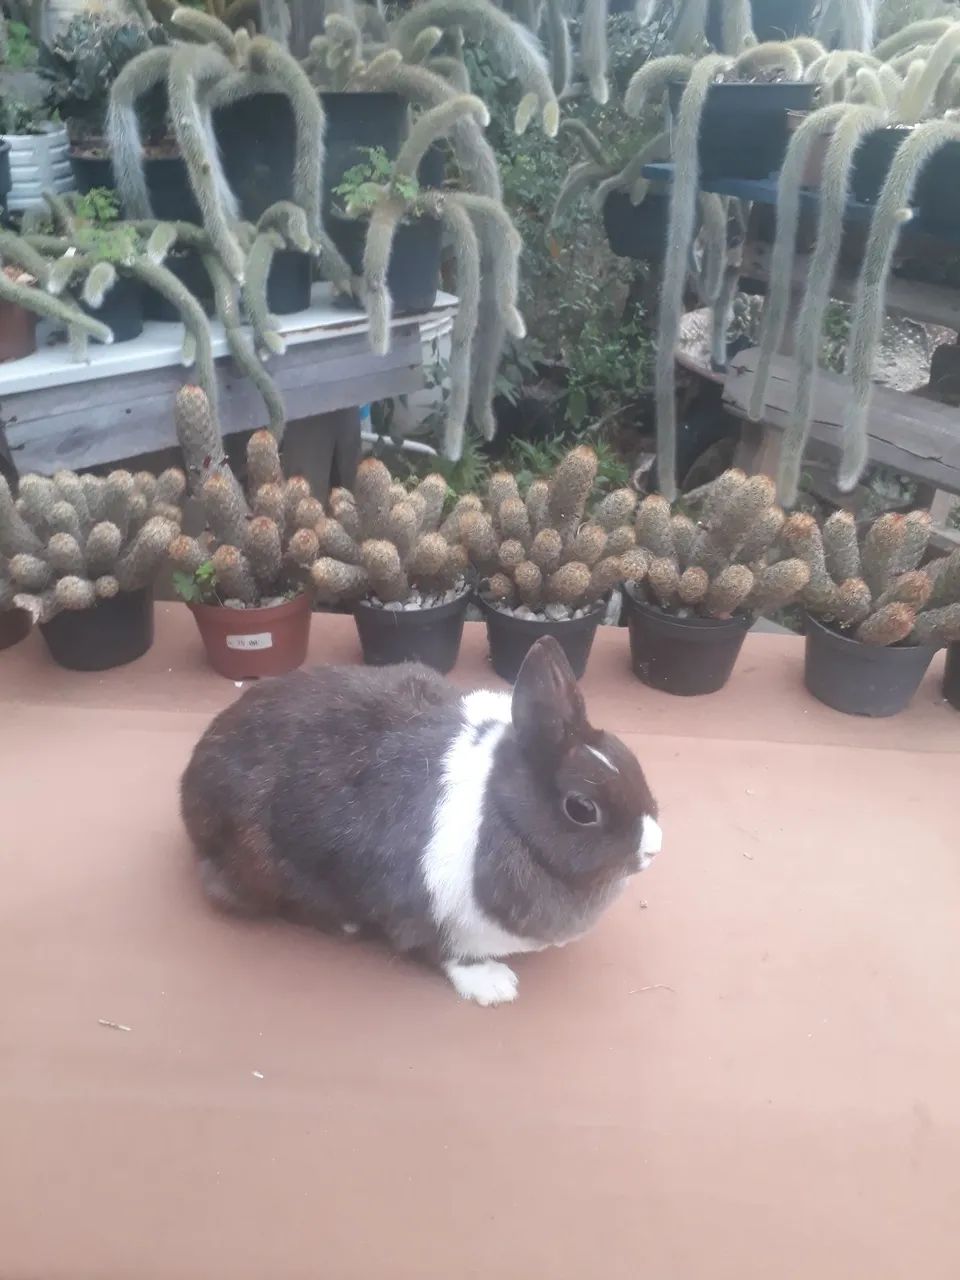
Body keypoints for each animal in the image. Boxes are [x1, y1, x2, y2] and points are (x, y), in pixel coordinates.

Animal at [180, 637, 662, 1006]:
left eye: (629, 758)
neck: (503, 808)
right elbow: (445, 951)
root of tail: (191, 782)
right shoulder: (423, 909)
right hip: (257, 865)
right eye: (581, 808)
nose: (653, 846)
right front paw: (494, 986)